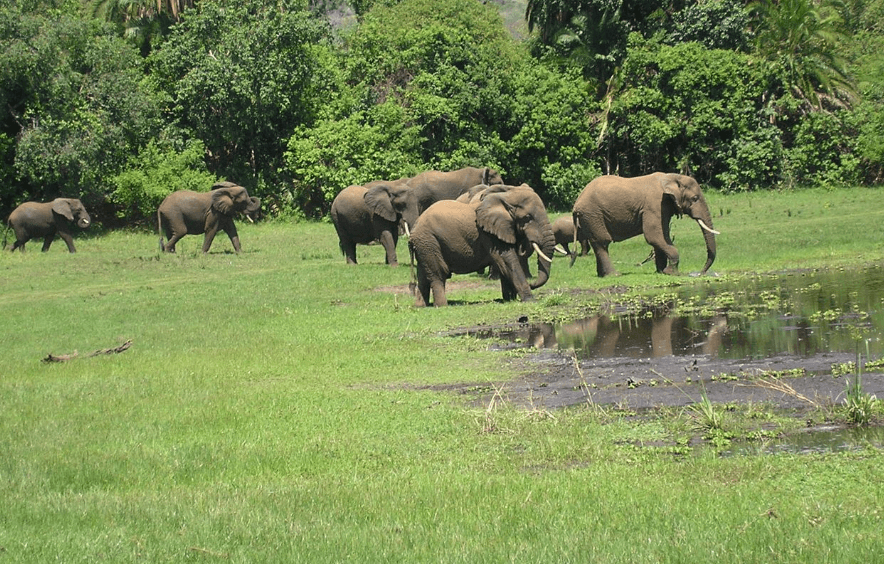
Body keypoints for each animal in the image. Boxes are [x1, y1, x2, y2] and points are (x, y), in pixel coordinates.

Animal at [409, 184, 555, 307]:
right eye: (527, 218)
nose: (532, 283)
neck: (505, 198)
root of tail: (413, 230)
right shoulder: (488, 233)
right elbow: (508, 261)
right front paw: (530, 300)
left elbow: (506, 263)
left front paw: (510, 299)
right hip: (429, 241)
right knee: (438, 274)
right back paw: (442, 306)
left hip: (424, 244)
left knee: (423, 274)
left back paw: (421, 306)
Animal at [572, 173, 719, 277]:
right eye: (695, 198)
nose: (700, 273)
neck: (672, 177)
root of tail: (576, 204)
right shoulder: (654, 205)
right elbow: (654, 236)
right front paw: (672, 273)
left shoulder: (663, 207)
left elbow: (662, 236)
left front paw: (661, 272)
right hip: (593, 214)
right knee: (603, 242)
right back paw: (614, 275)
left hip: (589, 218)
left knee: (597, 244)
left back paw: (602, 275)